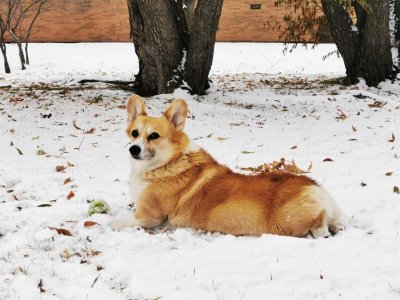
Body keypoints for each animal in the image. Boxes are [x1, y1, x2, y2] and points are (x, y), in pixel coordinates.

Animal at [113, 95, 344, 238]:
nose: (133, 149)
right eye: (134, 133)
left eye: (154, 136)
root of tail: (317, 190)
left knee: (319, 226)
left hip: (286, 223)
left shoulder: (149, 216)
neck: (169, 162)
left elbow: (119, 221)